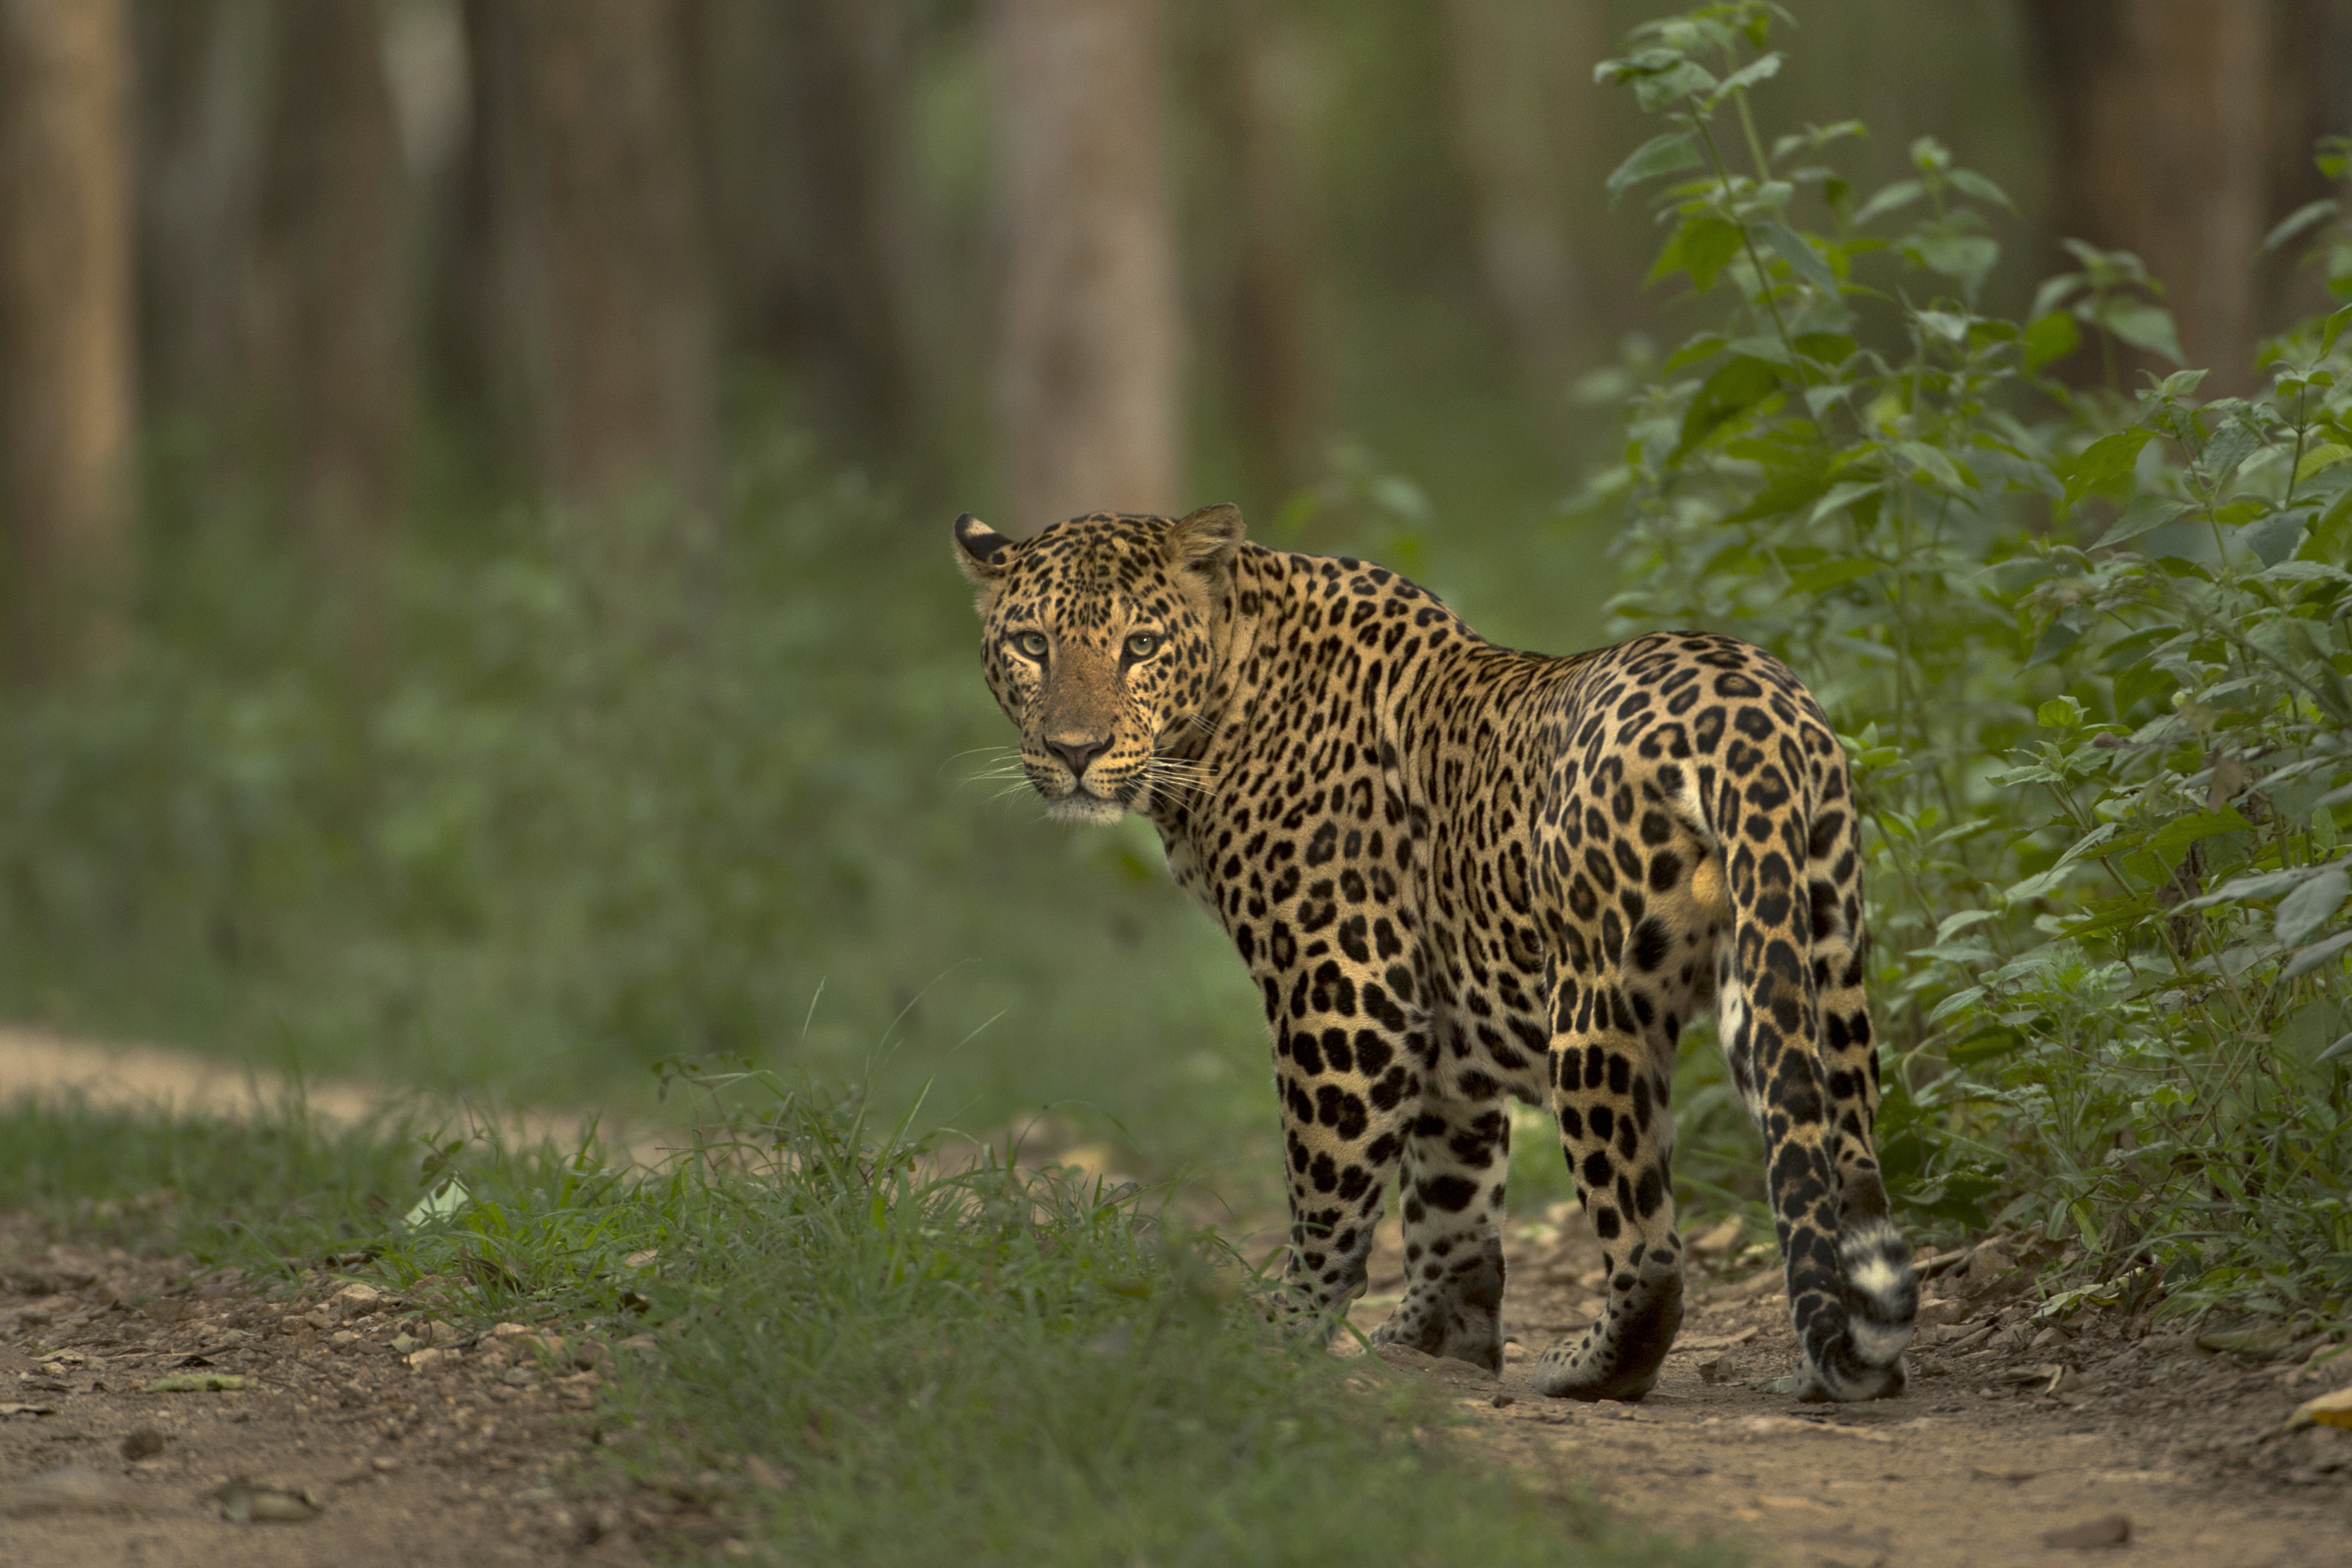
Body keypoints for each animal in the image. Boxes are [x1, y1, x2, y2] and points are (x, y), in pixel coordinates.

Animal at [950, 503, 1910, 1400]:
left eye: (1140, 646)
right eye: (1033, 644)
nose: (1075, 750)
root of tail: (1751, 719)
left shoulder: (1347, 987)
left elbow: (1330, 1182)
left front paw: (1285, 1330)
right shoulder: (1449, 1016)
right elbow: (1451, 1188)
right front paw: (1439, 1340)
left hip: (1596, 1009)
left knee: (1650, 1244)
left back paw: (1591, 1367)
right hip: (1814, 965)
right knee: (1840, 1164)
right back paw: (1854, 1358)